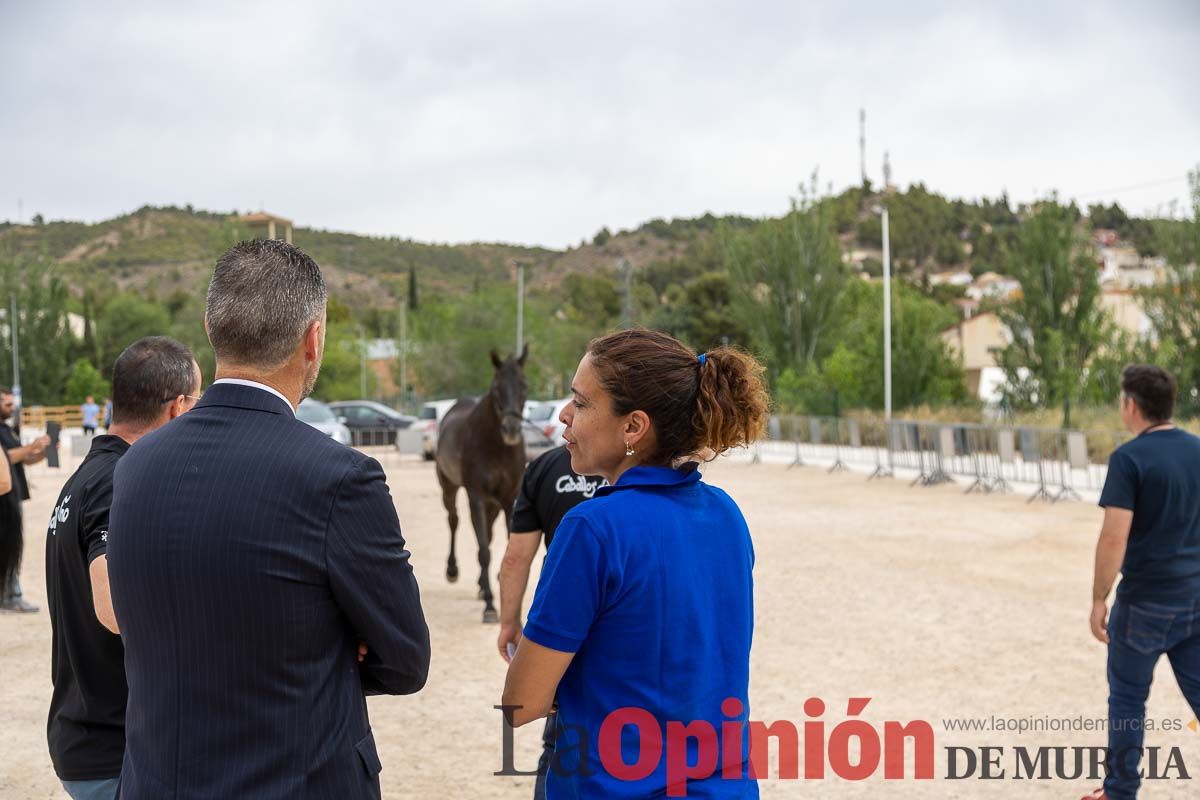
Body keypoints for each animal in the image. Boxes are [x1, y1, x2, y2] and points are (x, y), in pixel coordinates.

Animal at [432, 347, 525, 623]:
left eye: (524, 385)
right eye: (496, 388)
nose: (511, 429)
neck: (496, 446)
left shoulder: (509, 498)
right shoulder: (476, 496)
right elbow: (484, 549)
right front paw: (491, 607)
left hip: (493, 504)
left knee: (489, 534)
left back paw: (483, 585)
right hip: (449, 487)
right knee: (454, 520)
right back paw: (454, 570)